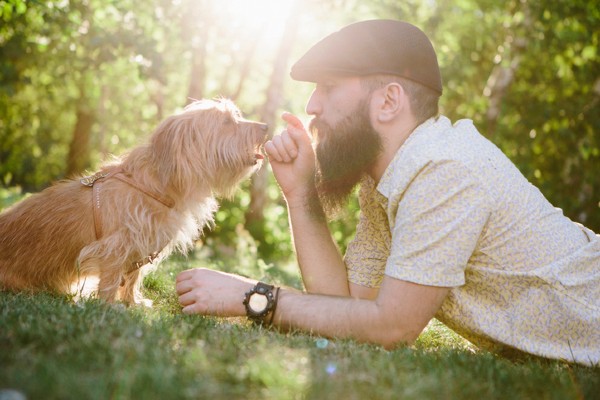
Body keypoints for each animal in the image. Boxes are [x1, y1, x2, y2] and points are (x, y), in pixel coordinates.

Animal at [0, 98, 268, 304]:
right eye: (226, 122)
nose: (266, 126)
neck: (159, 185)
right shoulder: (113, 246)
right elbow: (111, 278)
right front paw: (108, 306)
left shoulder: (142, 245)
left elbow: (133, 276)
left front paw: (132, 302)